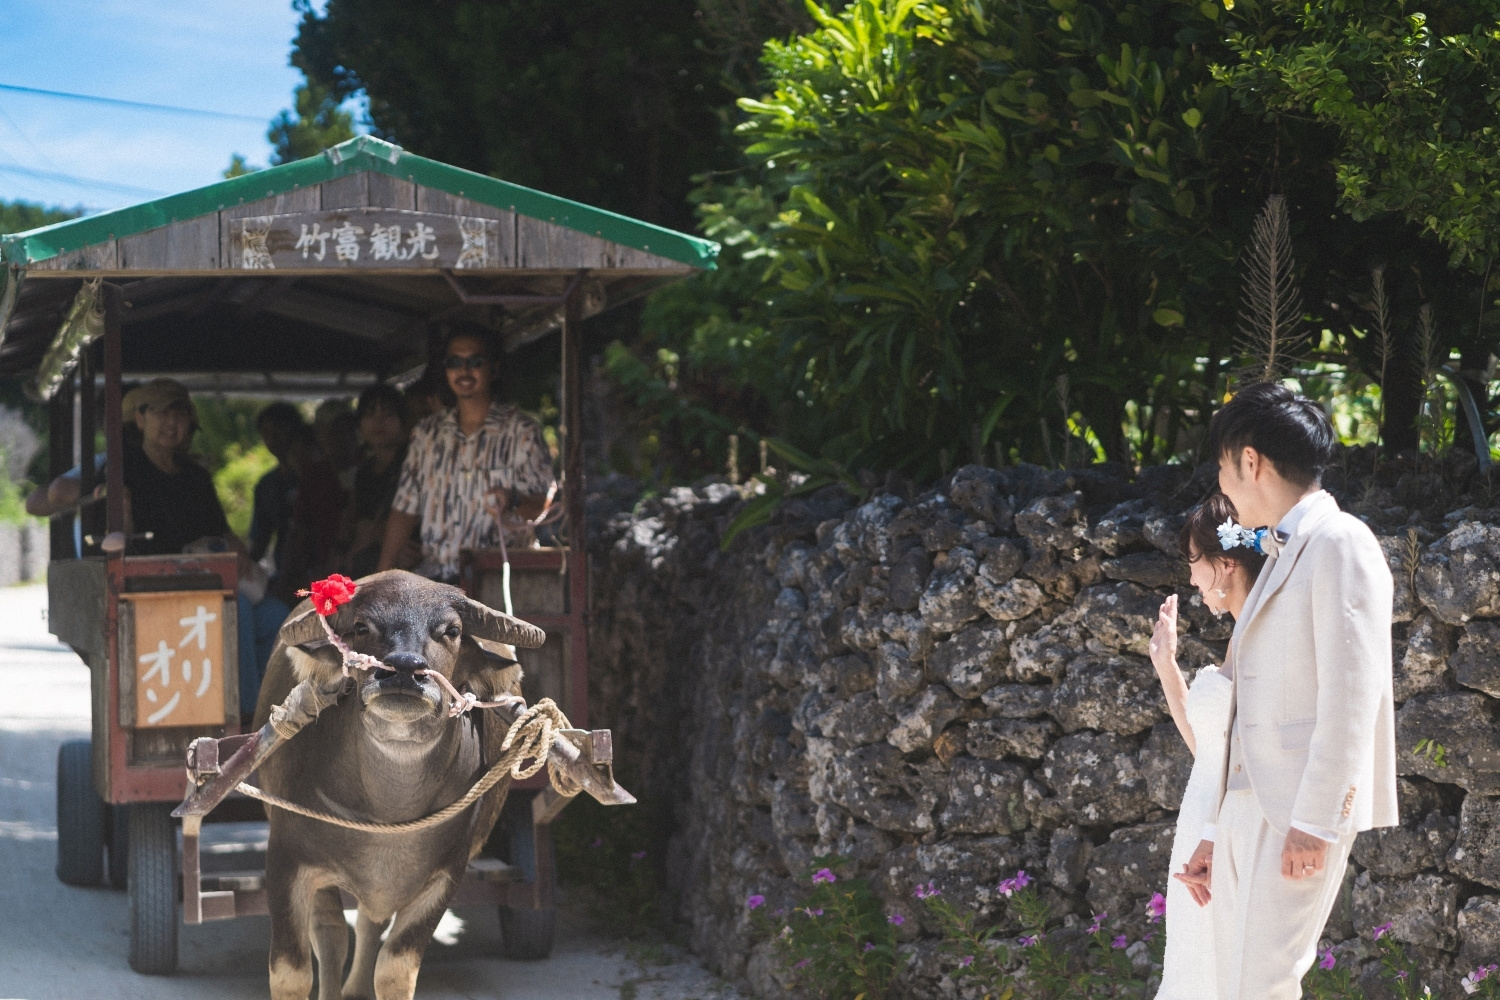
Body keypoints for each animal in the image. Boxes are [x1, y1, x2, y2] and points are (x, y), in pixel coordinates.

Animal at [250, 569, 540, 1000]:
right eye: (361, 627)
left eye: (452, 631)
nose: (404, 668)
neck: (388, 813)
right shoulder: (286, 859)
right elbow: (291, 972)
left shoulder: (445, 875)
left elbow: (395, 969)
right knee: (331, 934)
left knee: (368, 925)